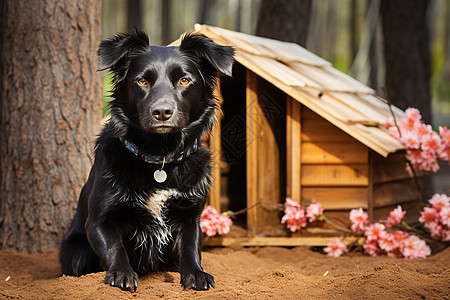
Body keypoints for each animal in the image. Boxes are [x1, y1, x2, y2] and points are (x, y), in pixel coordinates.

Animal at [59, 29, 234, 292]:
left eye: (184, 81)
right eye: (142, 81)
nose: (162, 112)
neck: (160, 157)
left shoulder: (190, 217)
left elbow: (191, 247)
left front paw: (196, 274)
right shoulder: (98, 222)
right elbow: (115, 247)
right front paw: (121, 273)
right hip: (75, 250)